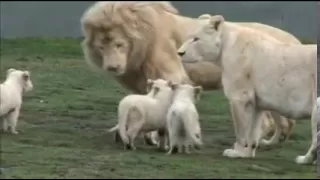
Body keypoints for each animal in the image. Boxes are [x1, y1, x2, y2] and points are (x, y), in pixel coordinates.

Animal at [79, 1, 302, 146]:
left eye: (119, 44)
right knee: (280, 121)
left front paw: (153, 136)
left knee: (269, 121)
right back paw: (271, 140)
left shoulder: (171, 73)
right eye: (101, 47)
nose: (112, 67)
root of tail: (295, 39)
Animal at [178, 15, 318, 165]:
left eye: (196, 39)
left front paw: (237, 152)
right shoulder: (256, 103)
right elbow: (253, 130)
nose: (179, 53)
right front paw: (247, 153)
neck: (225, 45)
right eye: (187, 37)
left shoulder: (240, 97)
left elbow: (241, 128)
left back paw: (304, 159)